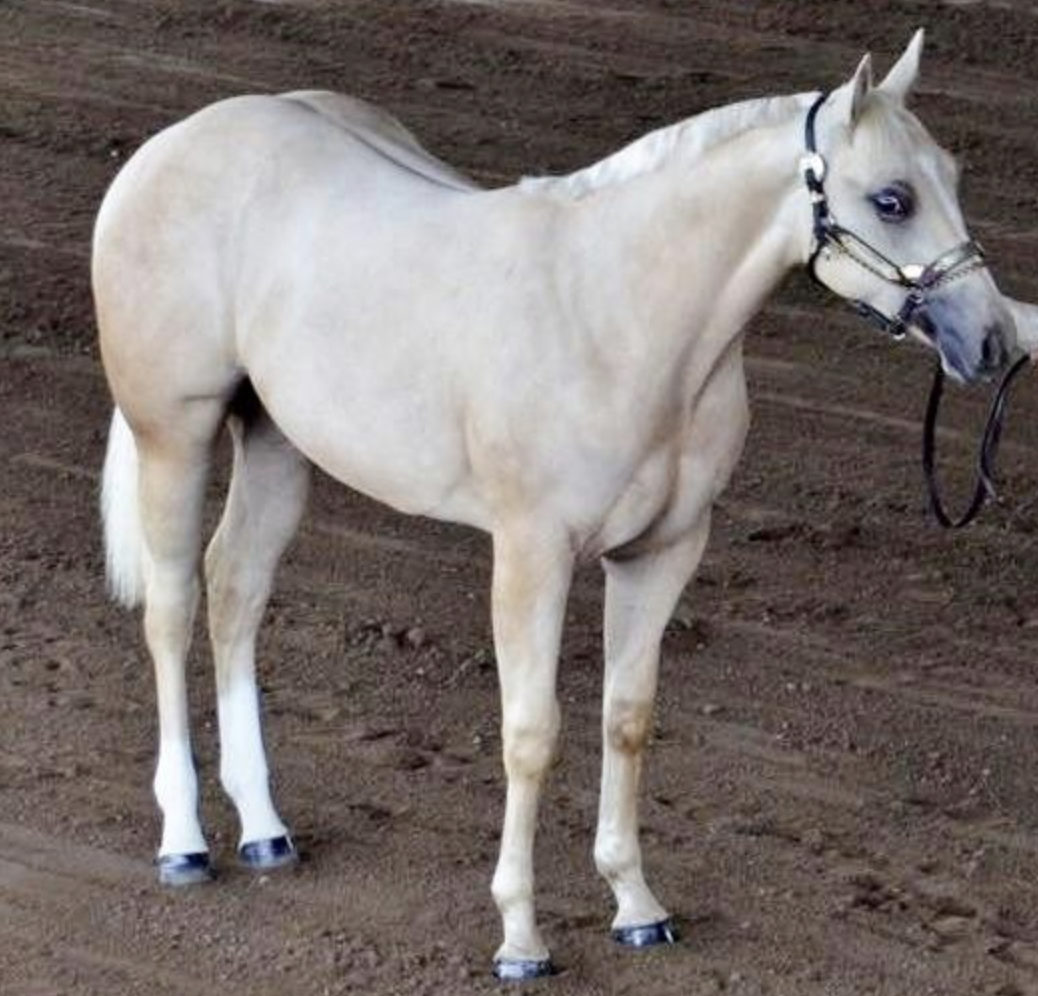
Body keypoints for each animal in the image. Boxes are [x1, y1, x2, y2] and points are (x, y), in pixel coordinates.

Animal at [94, 30, 1016, 979]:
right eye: (893, 199)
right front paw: (520, 937)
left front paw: (636, 906)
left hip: (277, 442)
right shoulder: (530, 551)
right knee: (172, 608)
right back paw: (185, 842)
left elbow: (626, 719)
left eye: (953, 175)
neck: (618, 317)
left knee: (236, 591)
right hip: (174, 434)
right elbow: (531, 733)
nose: (995, 341)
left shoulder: (662, 552)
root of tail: (175, 143)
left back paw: (267, 832)